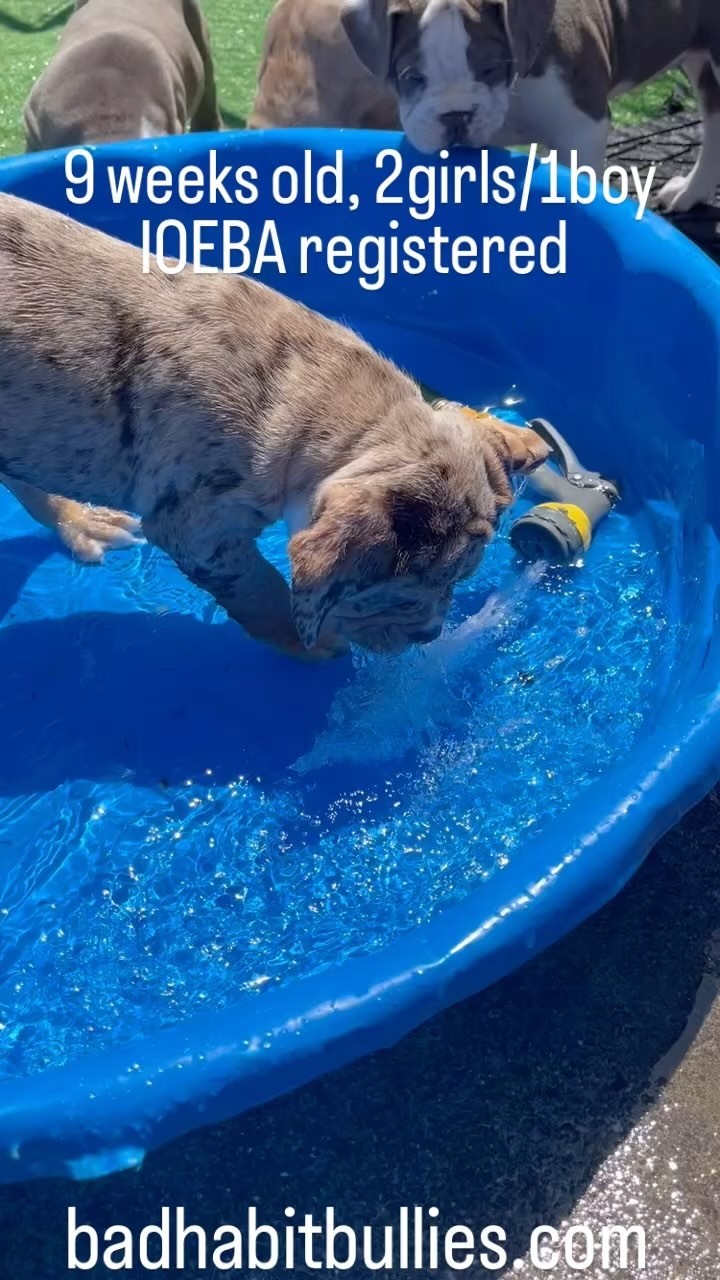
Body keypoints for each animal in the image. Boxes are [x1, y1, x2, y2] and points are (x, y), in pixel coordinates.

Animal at [0, 194, 549, 660]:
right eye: (405, 596)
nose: (429, 635)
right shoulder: (201, 529)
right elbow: (260, 589)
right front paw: (310, 643)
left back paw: (82, 521)